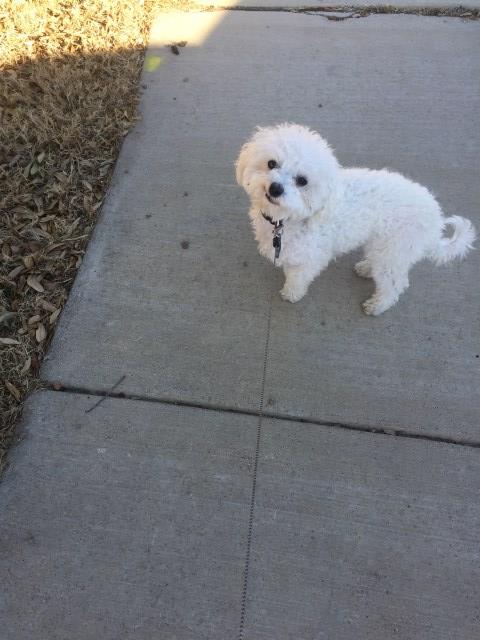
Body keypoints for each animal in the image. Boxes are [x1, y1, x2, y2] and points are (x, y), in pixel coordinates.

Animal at [234, 122, 474, 316]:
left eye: (302, 180)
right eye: (271, 163)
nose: (275, 188)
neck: (289, 218)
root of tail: (436, 218)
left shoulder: (310, 258)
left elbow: (298, 278)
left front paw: (291, 294)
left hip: (394, 249)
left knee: (395, 283)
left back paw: (377, 306)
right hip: (384, 248)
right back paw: (366, 268)